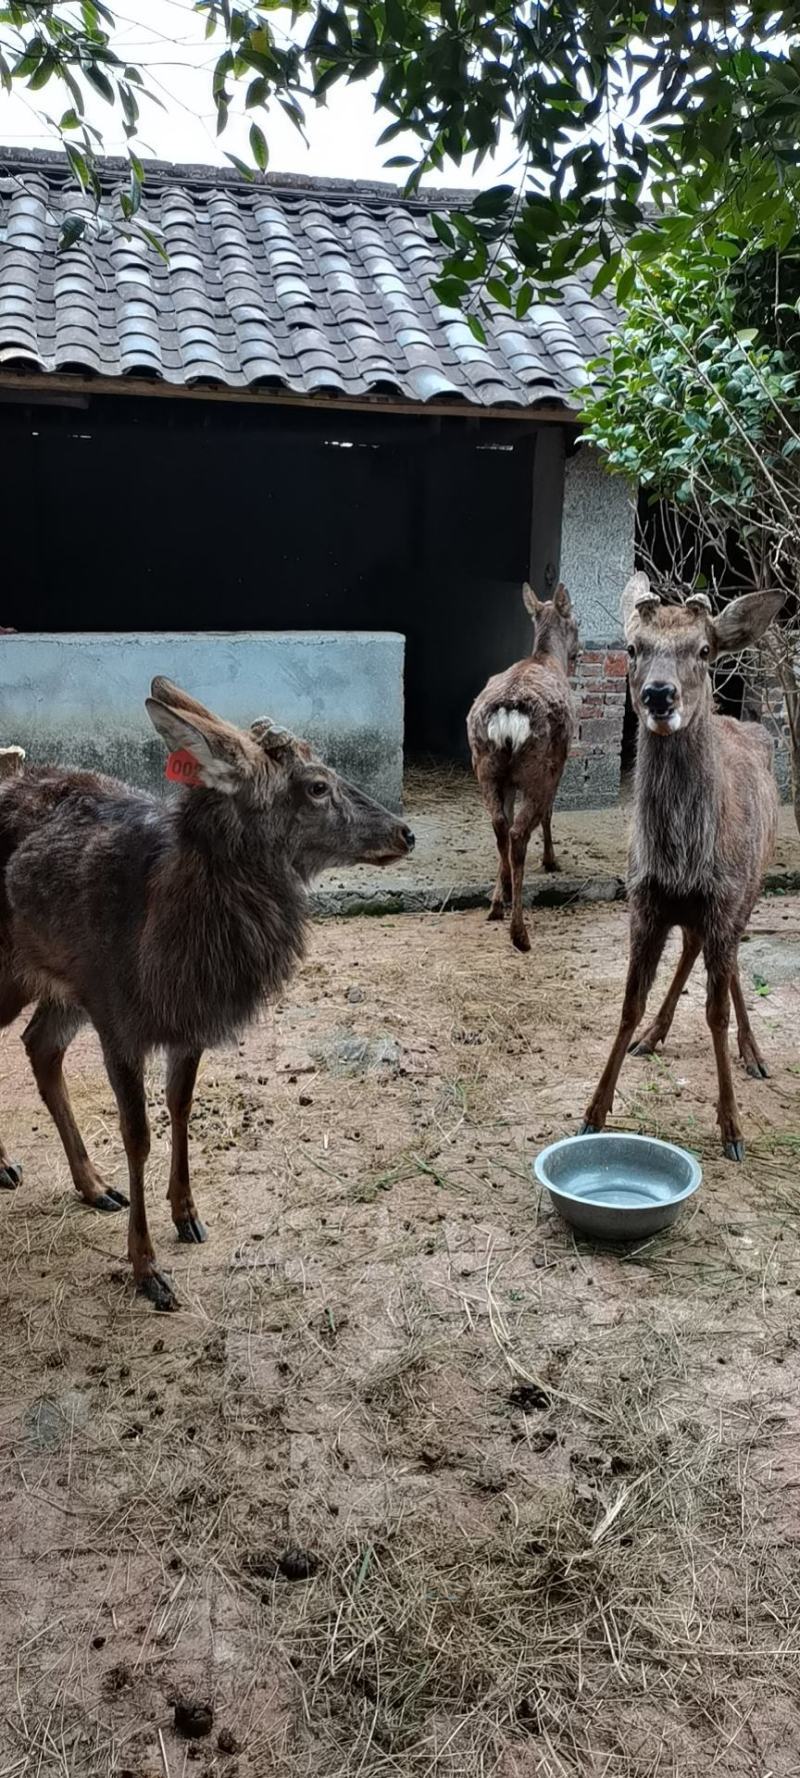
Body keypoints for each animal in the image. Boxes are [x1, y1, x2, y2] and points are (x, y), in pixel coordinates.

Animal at [0, 679, 414, 1309]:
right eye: (317, 785)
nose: (405, 832)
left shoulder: (182, 1020)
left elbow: (181, 1107)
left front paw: (188, 1216)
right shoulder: (119, 1017)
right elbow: (138, 1135)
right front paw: (147, 1270)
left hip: (64, 984)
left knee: (39, 1045)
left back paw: (94, 1185)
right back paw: (11, 1167)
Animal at [467, 582, 579, 952]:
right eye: (576, 622)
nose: (579, 651)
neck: (546, 658)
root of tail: (509, 717)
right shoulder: (559, 764)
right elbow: (549, 813)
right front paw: (551, 860)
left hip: (485, 765)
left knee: (500, 825)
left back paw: (497, 903)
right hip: (536, 768)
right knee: (518, 833)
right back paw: (520, 934)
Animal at [581, 574, 784, 1161]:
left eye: (704, 650)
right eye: (633, 648)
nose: (658, 694)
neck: (683, 858)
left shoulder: (723, 899)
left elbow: (715, 1013)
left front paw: (732, 1129)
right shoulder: (644, 902)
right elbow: (627, 1005)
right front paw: (593, 1112)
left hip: (752, 886)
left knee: (732, 961)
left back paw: (754, 1053)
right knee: (696, 947)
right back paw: (654, 1035)